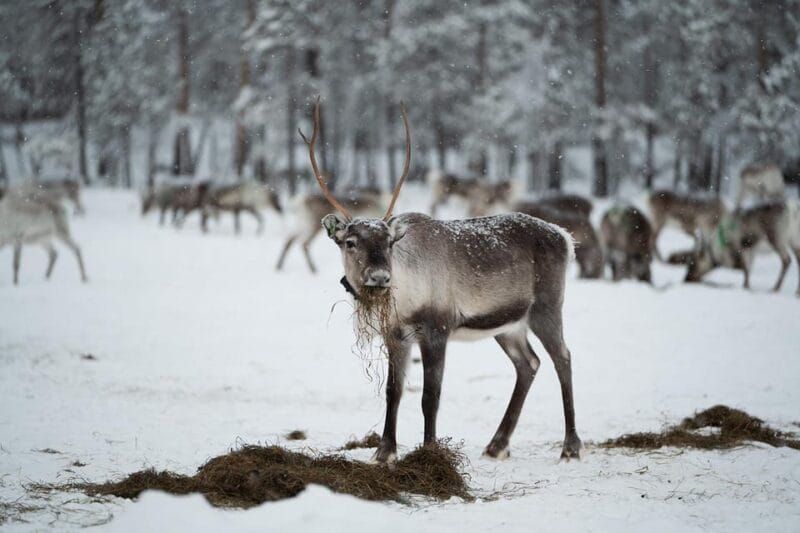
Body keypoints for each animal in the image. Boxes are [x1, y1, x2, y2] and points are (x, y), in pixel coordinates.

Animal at [303, 97, 581, 462]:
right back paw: (497, 444)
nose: (380, 277)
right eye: (351, 242)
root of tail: (565, 237)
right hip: (509, 324)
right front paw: (384, 452)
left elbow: (430, 396)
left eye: (389, 243)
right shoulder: (396, 335)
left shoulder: (437, 327)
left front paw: (430, 451)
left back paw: (570, 446)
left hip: (547, 307)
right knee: (529, 363)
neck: (406, 298)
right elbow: (393, 391)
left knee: (563, 358)